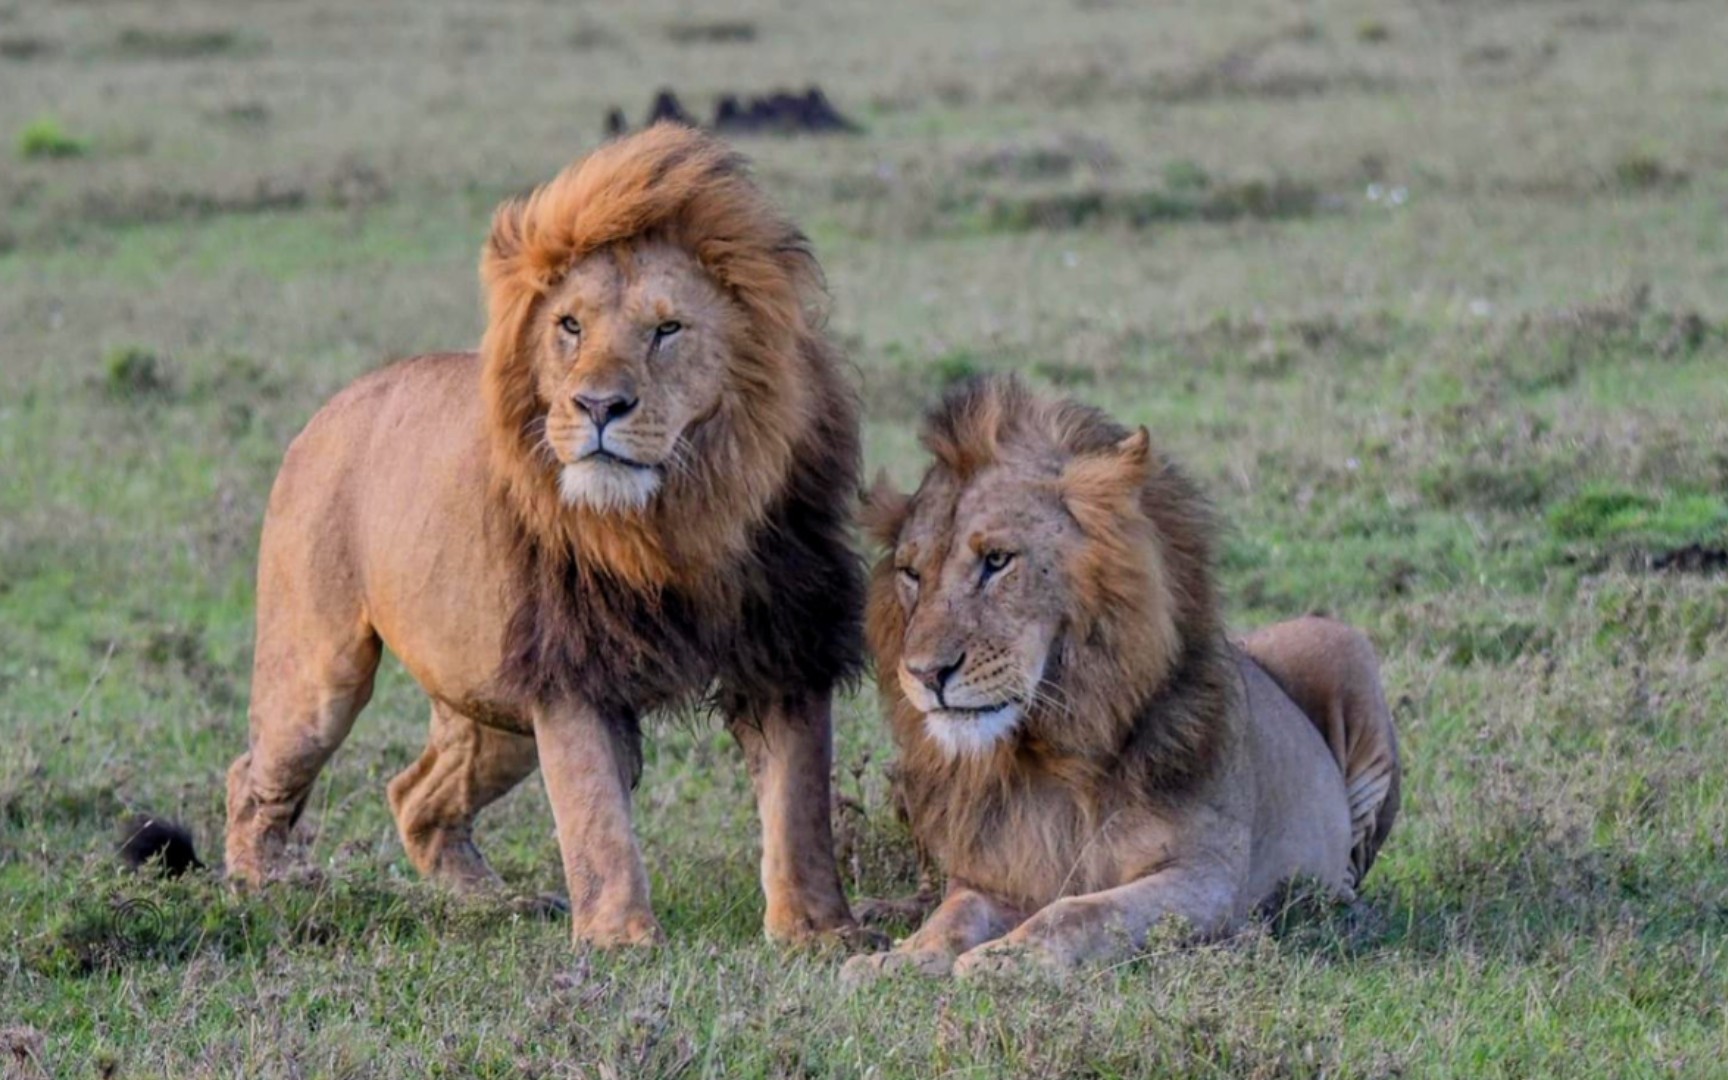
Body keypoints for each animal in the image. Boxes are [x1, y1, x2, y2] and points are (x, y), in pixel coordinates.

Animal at [222, 126, 864, 946]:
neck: (671, 526)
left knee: (415, 796)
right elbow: (595, 817)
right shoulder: (567, 664)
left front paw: (816, 931)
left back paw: (492, 902)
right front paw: (622, 940)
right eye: (570, 327)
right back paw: (260, 887)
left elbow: (798, 805)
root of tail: (331, 408)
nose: (598, 406)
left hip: (487, 698)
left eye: (667, 330)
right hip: (319, 675)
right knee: (253, 775)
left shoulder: (782, 644)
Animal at [843, 376, 1396, 974]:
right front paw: (897, 959)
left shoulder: (1206, 875)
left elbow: (1079, 911)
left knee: (1352, 873)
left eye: (997, 560)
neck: (1049, 749)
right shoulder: (995, 877)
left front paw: (1010, 957)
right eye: (910, 573)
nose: (925, 674)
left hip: (1340, 644)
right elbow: (952, 917)